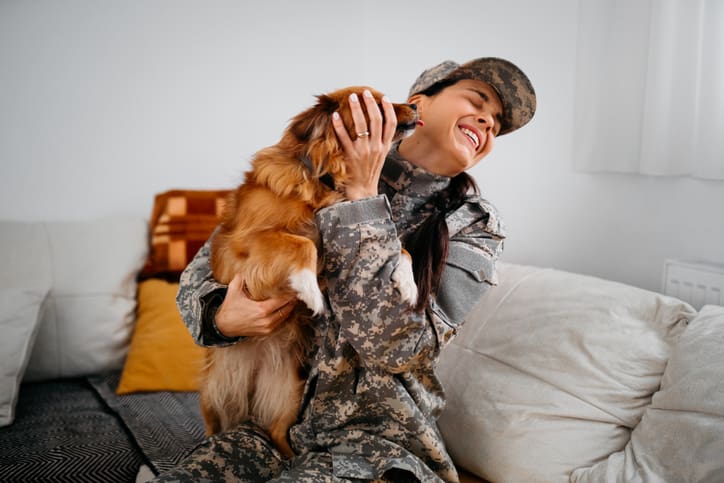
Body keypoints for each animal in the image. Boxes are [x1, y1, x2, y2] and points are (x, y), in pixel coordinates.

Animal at [202, 85, 418, 460]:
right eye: (378, 103)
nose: (417, 107)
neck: (326, 181)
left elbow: (400, 248)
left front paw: (407, 283)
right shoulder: (246, 242)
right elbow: (302, 245)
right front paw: (309, 292)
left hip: (290, 392)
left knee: (277, 432)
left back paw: (290, 459)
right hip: (213, 396)